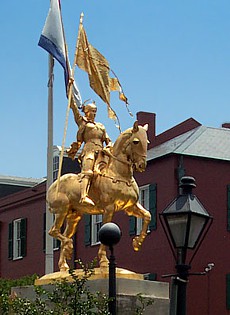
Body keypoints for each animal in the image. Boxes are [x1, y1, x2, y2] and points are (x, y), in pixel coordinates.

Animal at [46, 122, 151, 272]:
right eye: (136, 141)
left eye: (147, 142)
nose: (142, 165)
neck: (119, 174)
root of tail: (52, 185)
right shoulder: (109, 209)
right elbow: (105, 230)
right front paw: (104, 261)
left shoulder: (131, 207)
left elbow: (148, 215)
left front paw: (137, 242)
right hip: (62, 210)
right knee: (54, 231)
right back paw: (69, 247)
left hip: (74, 217)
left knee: (63, 236)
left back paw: (64, 266)